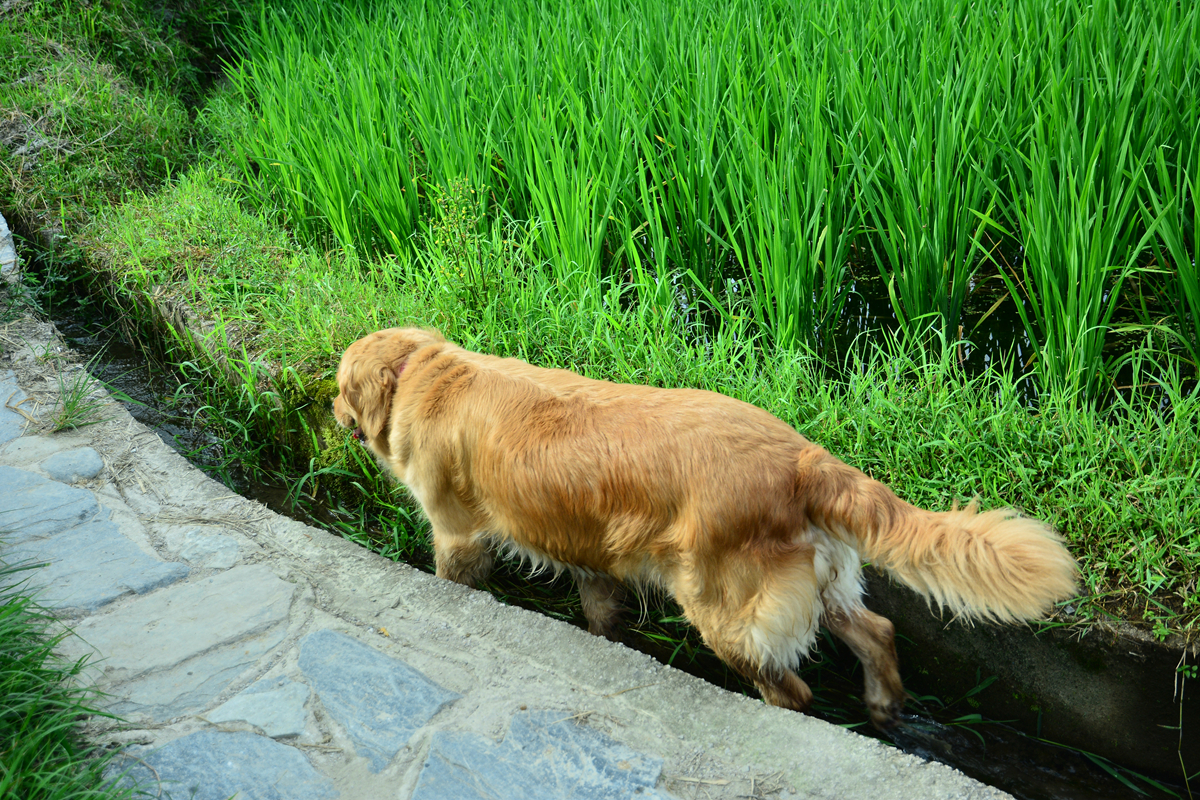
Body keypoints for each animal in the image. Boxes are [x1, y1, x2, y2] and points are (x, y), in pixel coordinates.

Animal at [331, 328, 1080, 729]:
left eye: (340, 388)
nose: (327, 406)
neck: (426, 370)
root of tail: (802, 458)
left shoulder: (457, 534)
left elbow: (455, 571)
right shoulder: (588, 553)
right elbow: (601, 610)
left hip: (723, 607)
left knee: (792, 689)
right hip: (820, 580)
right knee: (878, 630)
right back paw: (883, 708)